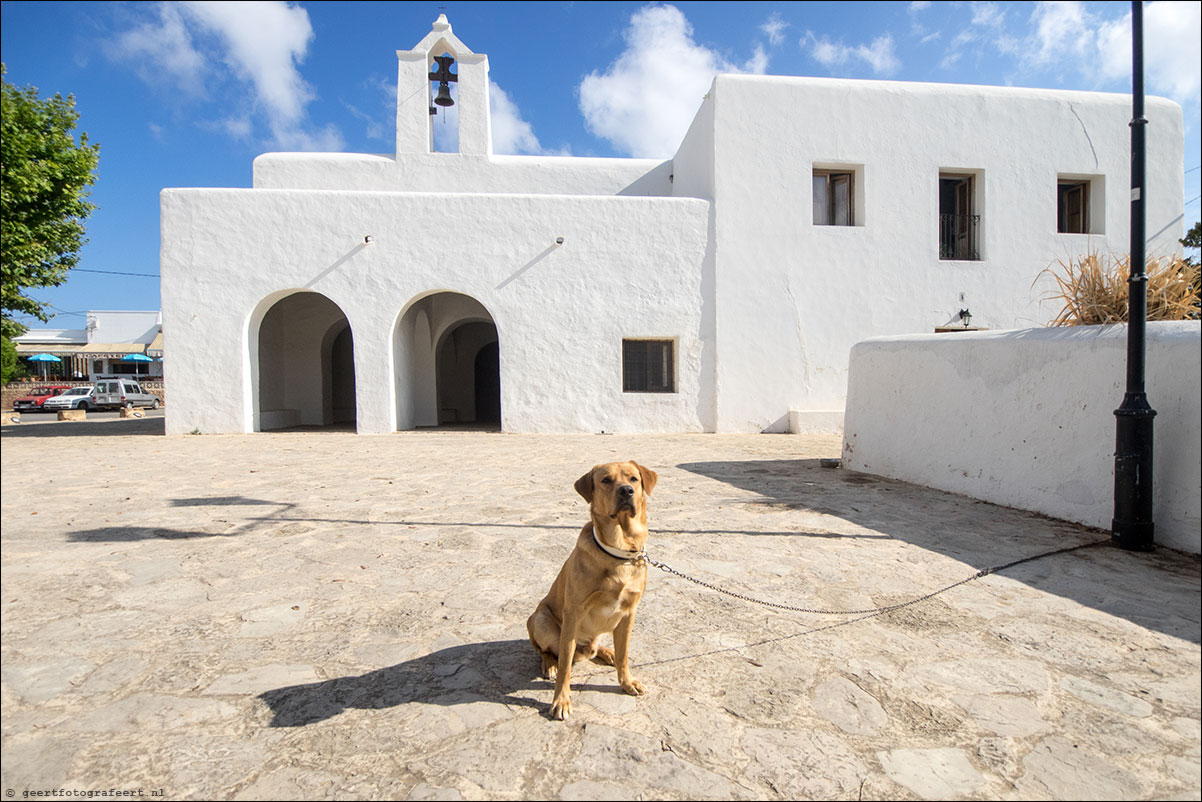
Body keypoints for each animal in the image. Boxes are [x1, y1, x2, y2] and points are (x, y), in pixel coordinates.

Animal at [526, 456, 658, 721]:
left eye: (633, 479)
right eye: (606, 480)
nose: (626, 491)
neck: (619, 551)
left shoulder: (628, 614)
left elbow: (624, 655)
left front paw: (626, 682)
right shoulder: (574, 613)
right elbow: (565, 665)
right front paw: (561, 701)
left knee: (597, 648)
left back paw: (607, 653)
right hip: (541, 618)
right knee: (548, 651)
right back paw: (549, 664)